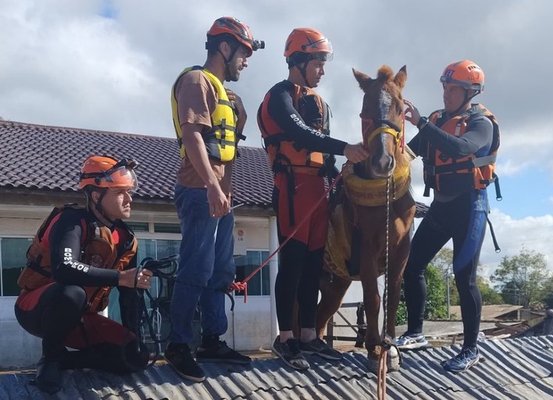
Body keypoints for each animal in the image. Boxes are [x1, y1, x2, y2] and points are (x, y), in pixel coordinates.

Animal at [314, 65, 414, 372]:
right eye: (364, 109)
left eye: (400, 107)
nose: (382, 162)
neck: (385, 198)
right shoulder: (368, 248)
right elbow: (373, 297)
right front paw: (373, 350)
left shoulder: (401, 250)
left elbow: (392, 296)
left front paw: (390, 349)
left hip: (337, 283)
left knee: (321, 314)